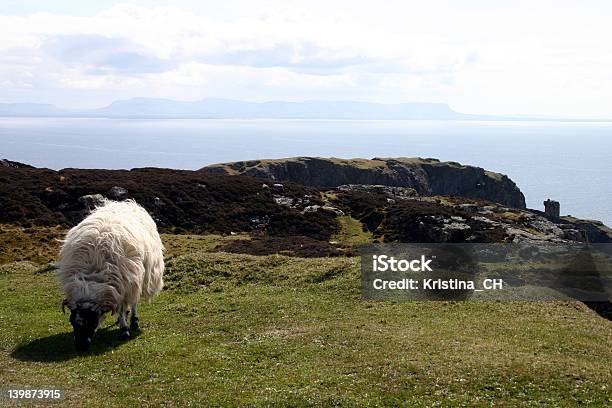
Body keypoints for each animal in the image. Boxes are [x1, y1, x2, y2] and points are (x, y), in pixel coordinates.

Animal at [56, 199, 163, 350]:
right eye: (72, 322)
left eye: (93, 322)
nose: (81, 346)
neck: (92, 277)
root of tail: (125, 203)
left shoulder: (125, 284)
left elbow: (122, 308)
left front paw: (124, 330)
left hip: (137, 278)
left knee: (134, 301)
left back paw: (134, 321)